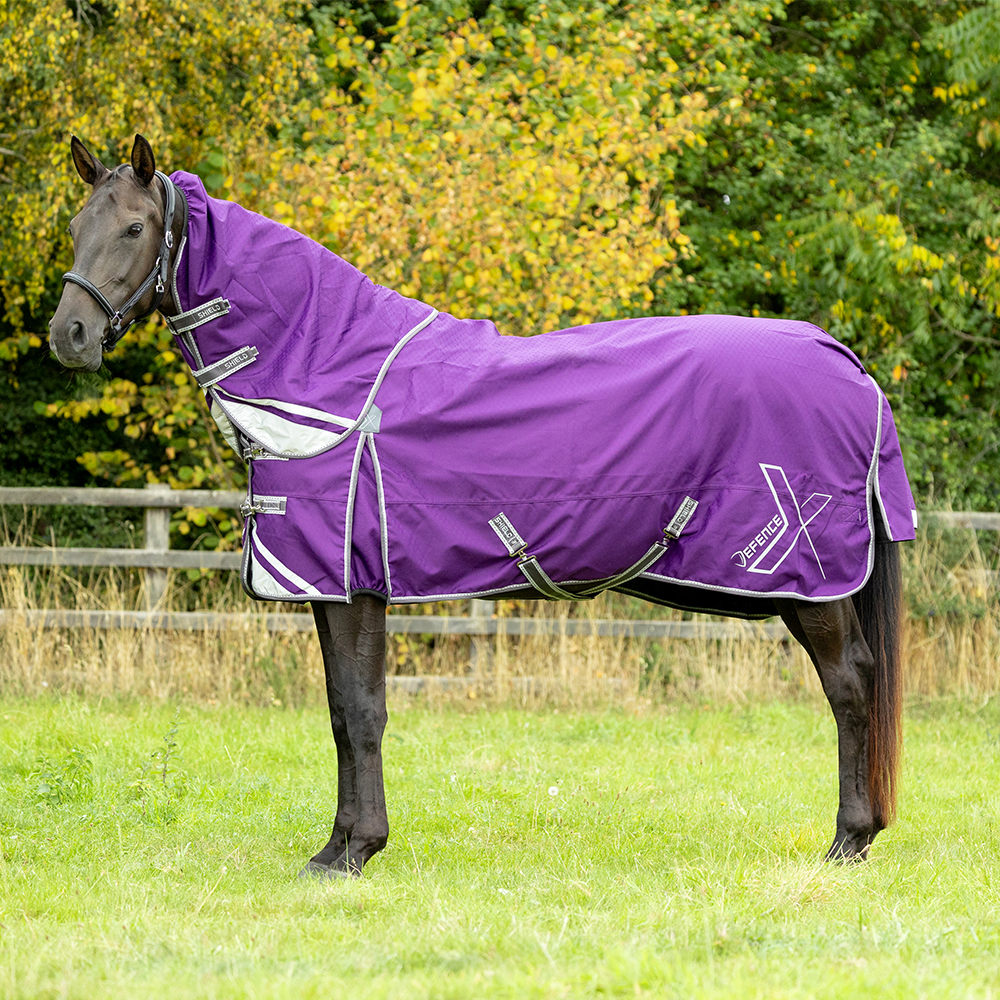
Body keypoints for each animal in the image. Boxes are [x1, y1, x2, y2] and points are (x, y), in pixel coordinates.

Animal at [49, 134, 914, 876]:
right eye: (75, 227)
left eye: (134, 227)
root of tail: (847, 363)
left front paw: (359, 851)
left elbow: (362, 710)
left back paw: (848, 842)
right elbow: (338, 713)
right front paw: (334, 848)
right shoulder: (330, 587)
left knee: (850, 686)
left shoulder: (354, 585)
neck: (323, 370)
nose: (70, 336)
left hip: (811, 584)